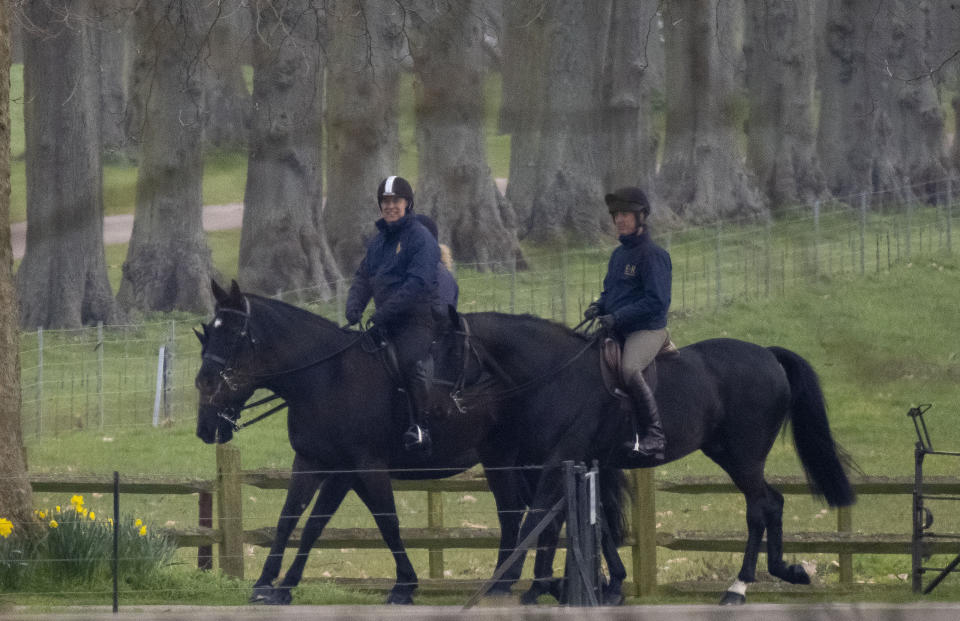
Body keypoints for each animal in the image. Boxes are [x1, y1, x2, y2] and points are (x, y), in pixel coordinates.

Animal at [194, 282, 628, 604]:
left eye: (232, 335)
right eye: (207, 332)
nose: (204, 385)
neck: (326, 377)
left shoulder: (357, 467)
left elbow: (375, 521)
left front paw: (404, 585)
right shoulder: (313, 463)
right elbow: (293, 520)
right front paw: (270, 584)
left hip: (533, 460)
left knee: (551, 511)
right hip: (509, 460)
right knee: (532, 513)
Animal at [458, 312, 856, 604]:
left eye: (449, 346)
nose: (454, 400)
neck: (559, 373)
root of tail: (768, 355)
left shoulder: (561, 461)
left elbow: (541, 519)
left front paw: (535, 587)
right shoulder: (586, 464)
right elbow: (598, 522)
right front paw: (611, 587)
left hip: (744, 456)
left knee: (760, 507)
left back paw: (739, 587)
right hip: (728, 454)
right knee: (772, 502)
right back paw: (782, 570)